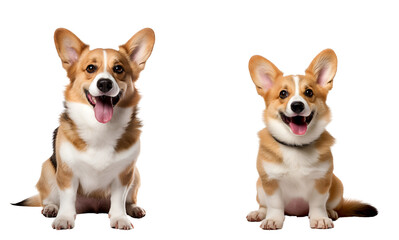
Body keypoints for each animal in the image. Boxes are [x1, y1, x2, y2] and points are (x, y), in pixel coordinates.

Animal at [13, 28, 155, 231]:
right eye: (90, 68)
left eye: (118, 69)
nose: (104, 83)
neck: (99, 128)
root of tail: (93, 207)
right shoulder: (66, 173)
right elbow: (67, 198)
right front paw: (64, 218)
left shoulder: (124, 174)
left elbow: (118, 200)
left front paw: (120, 218)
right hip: (47, 169)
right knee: (48, 198)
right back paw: (51, 208)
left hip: (136, 174)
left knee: (128, 199)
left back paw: (134, 208)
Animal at [247, 49, 378, 231]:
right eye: (283, 94)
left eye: (309, 92)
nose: (297, 105)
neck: (296, 144)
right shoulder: (270, 181)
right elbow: (274, 205)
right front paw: (273, 219)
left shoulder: (321, 180)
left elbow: (317, 203)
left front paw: (320, 219)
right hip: (259, 185)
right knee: (264, 205)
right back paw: (259, 213)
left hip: (337, 184)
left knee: (331, 205)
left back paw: (330, 212)